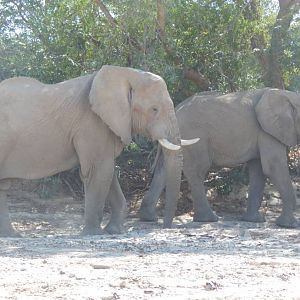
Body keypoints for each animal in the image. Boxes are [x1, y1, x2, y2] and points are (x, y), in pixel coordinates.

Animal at [0, 65, 197, 237]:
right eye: (154, 109)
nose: (164, 226)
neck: (124, 74)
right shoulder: (91, 123)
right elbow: (99, 171)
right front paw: (93, 234)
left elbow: (108, 173)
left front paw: (113, 231)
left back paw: (11, 236)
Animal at [141, 88, 300, 229]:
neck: (287, 95)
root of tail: (177, 109)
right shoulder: (267, 131)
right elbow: (272, 166)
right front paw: (289, 225)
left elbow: (258, 170)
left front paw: (254, 220)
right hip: (194, 136)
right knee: (197, 170)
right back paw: (208, 219)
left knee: (163, 170)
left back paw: (149, 218)